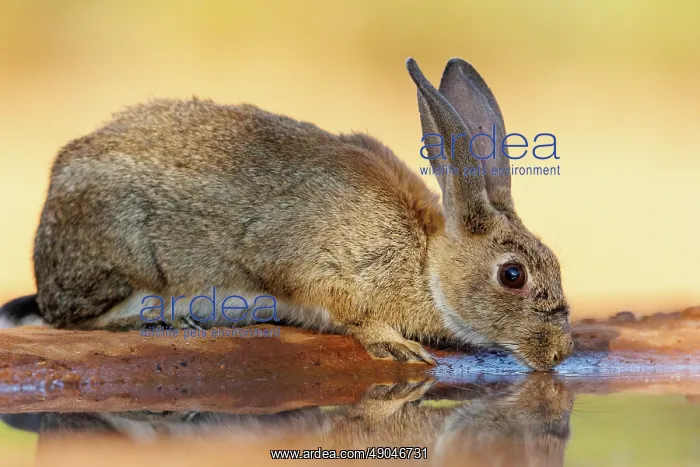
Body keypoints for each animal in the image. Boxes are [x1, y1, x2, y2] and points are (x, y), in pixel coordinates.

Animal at [8, 57, 573, 371]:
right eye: (513, 275)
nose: (560, 354)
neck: (425, 260)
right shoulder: (315, 266)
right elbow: (345, 309)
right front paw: (396, 347)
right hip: (125, 257)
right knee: (75, 319)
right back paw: (169, 317)